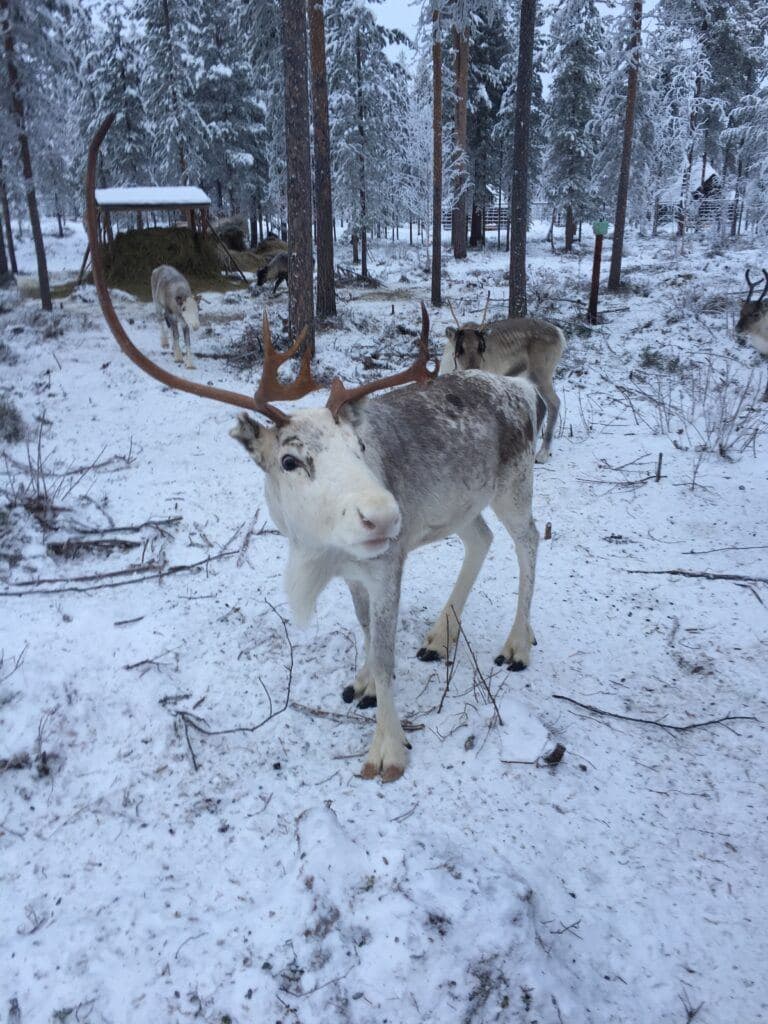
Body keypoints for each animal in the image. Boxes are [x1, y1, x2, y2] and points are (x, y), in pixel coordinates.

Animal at [86, 115, 543, 783]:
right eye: (290, 459)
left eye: (361, 443)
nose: (385, 515)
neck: (319, 551)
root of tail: (521, 389)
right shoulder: (357, 570)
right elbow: (364, 633)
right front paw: (362, 684)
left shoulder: (387, 562)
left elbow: (385, 652)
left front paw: (387, 749)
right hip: (460, 503)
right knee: (480, 539)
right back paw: (439, 637)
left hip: (514, 486)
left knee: (528, 540)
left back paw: (515, 644)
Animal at [440, 298, 565, 464]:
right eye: (460, 348)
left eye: (481, 347)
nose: (475, 369)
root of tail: (559, 333)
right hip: (529, 376)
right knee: (542, 404)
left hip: (541, 373)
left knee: (554, 402)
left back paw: (543, 453)